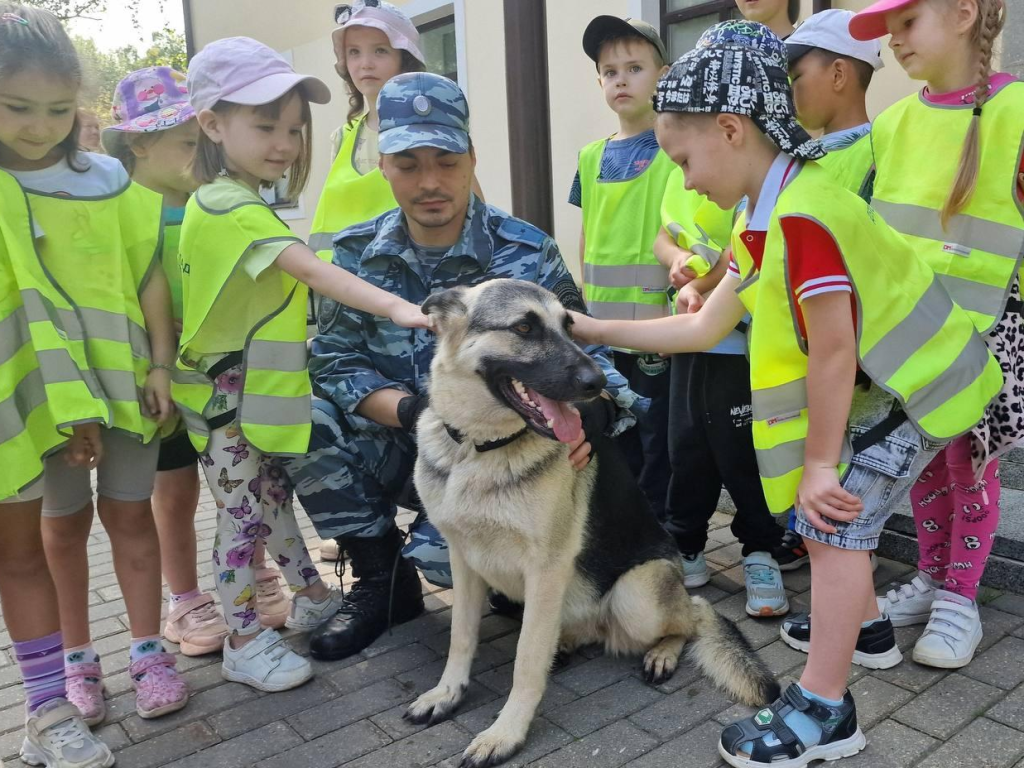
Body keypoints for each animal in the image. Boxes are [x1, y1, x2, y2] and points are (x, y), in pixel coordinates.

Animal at [405, 282, 774, 768]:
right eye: (524, 328)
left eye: (570, 327)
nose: (597, 383)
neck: (479, 449)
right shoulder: (463, 560)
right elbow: (461, 638)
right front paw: (447, 693)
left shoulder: (545, 569)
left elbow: (526, 658)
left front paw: (506, 732)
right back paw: (566, 644)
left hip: (637, 595)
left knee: (692, 617)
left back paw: (662, 653)